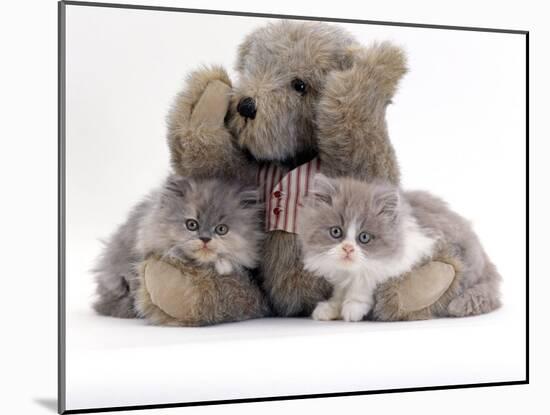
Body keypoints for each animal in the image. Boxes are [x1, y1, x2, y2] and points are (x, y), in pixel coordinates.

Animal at [300, 174, 502, 324]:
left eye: (364, 237)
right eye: (336, 232)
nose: (348, 249)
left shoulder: (409, 254)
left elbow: (365, 280)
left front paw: (353, 306)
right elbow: (340, 290)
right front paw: (330, 307)